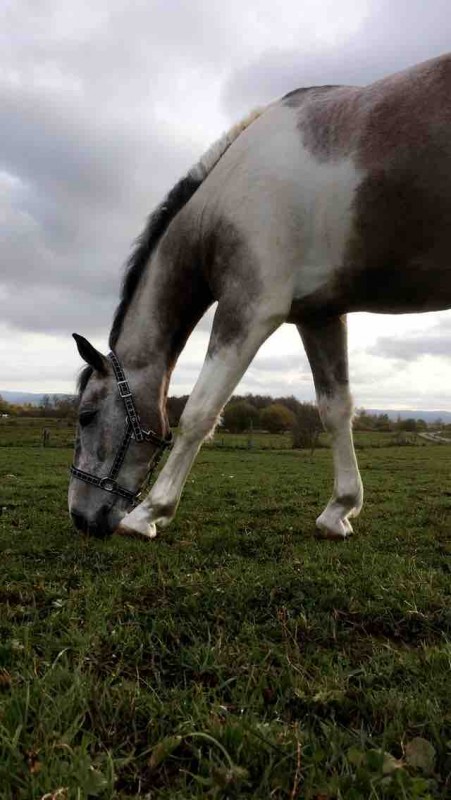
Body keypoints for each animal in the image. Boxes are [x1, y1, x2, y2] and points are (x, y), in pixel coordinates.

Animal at [69, 53, 451, 540]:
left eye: (86, 416)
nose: (79, 518)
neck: (223, 202)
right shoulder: (320, 315)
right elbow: (335, 409)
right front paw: (339, 510)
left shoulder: (248, 310)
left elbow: (199, 412)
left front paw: (149, 513)